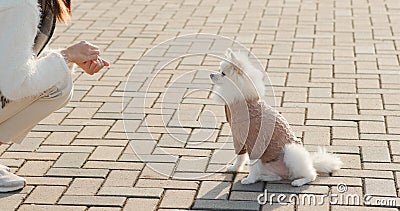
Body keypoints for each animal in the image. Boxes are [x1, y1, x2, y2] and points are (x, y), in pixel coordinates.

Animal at [209, 49, 340, 186]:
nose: (211, 74)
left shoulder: (255, 143)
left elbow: (252, 165)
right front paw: (235, 168)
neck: (243, 102)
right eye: (219, 70)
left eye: (223, 73)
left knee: (311, 174)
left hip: (290, 151)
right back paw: (263, 177)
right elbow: (240, 157)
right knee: (277, 176)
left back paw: (299, 181)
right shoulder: (239, 139)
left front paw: (249, 179)